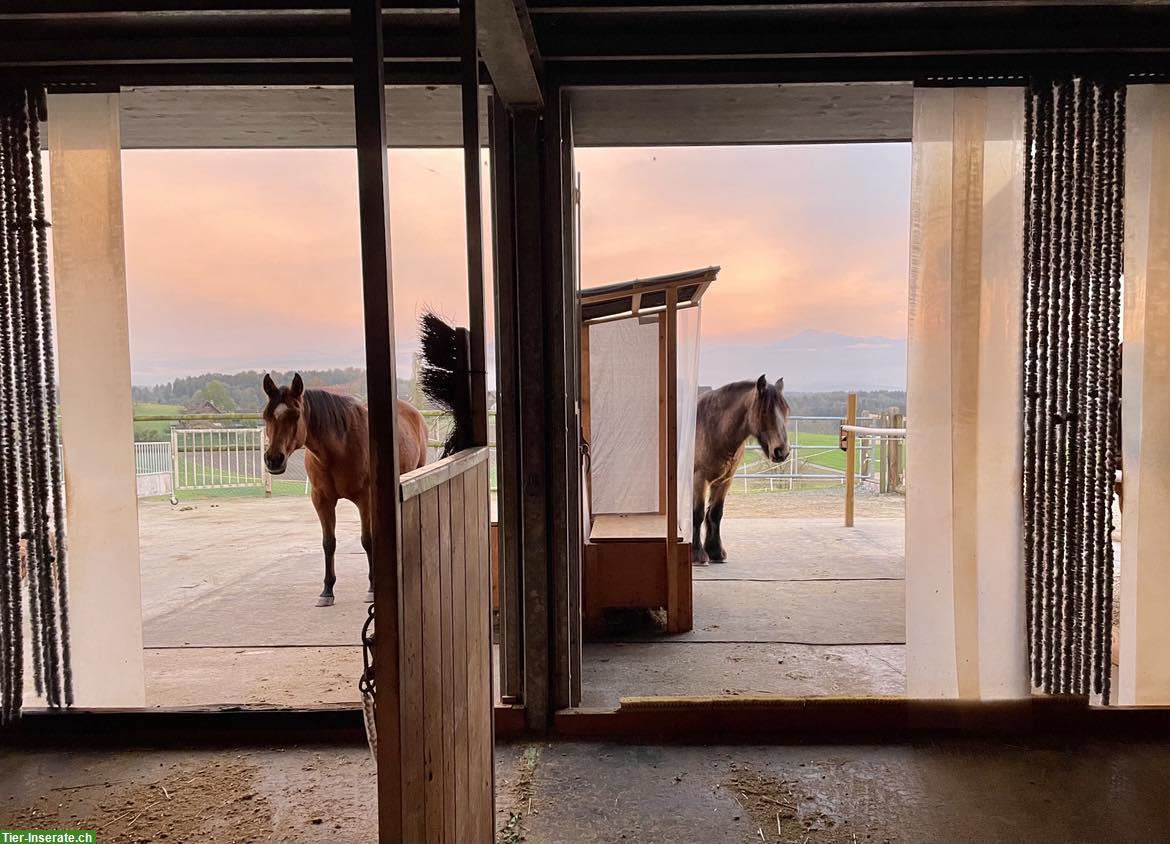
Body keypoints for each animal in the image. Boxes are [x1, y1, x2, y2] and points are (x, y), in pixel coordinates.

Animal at [263, 309, 472, 604]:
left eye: (294, 414)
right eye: (267, 416)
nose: (274, 459)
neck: (335, 451)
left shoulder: (366, 498)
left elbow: (367, 540)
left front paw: (373, 588)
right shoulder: (321, 499)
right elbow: (329, 542)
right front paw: (327, 590)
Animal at [687, 376, 790, 566]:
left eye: (785, 410)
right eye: (765, 411)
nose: (782, 451)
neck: (713, 428)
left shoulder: (725, 480)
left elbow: (715, 513)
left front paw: (716, 552)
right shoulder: (699, 479)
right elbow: (698, 513)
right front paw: (697, 554)